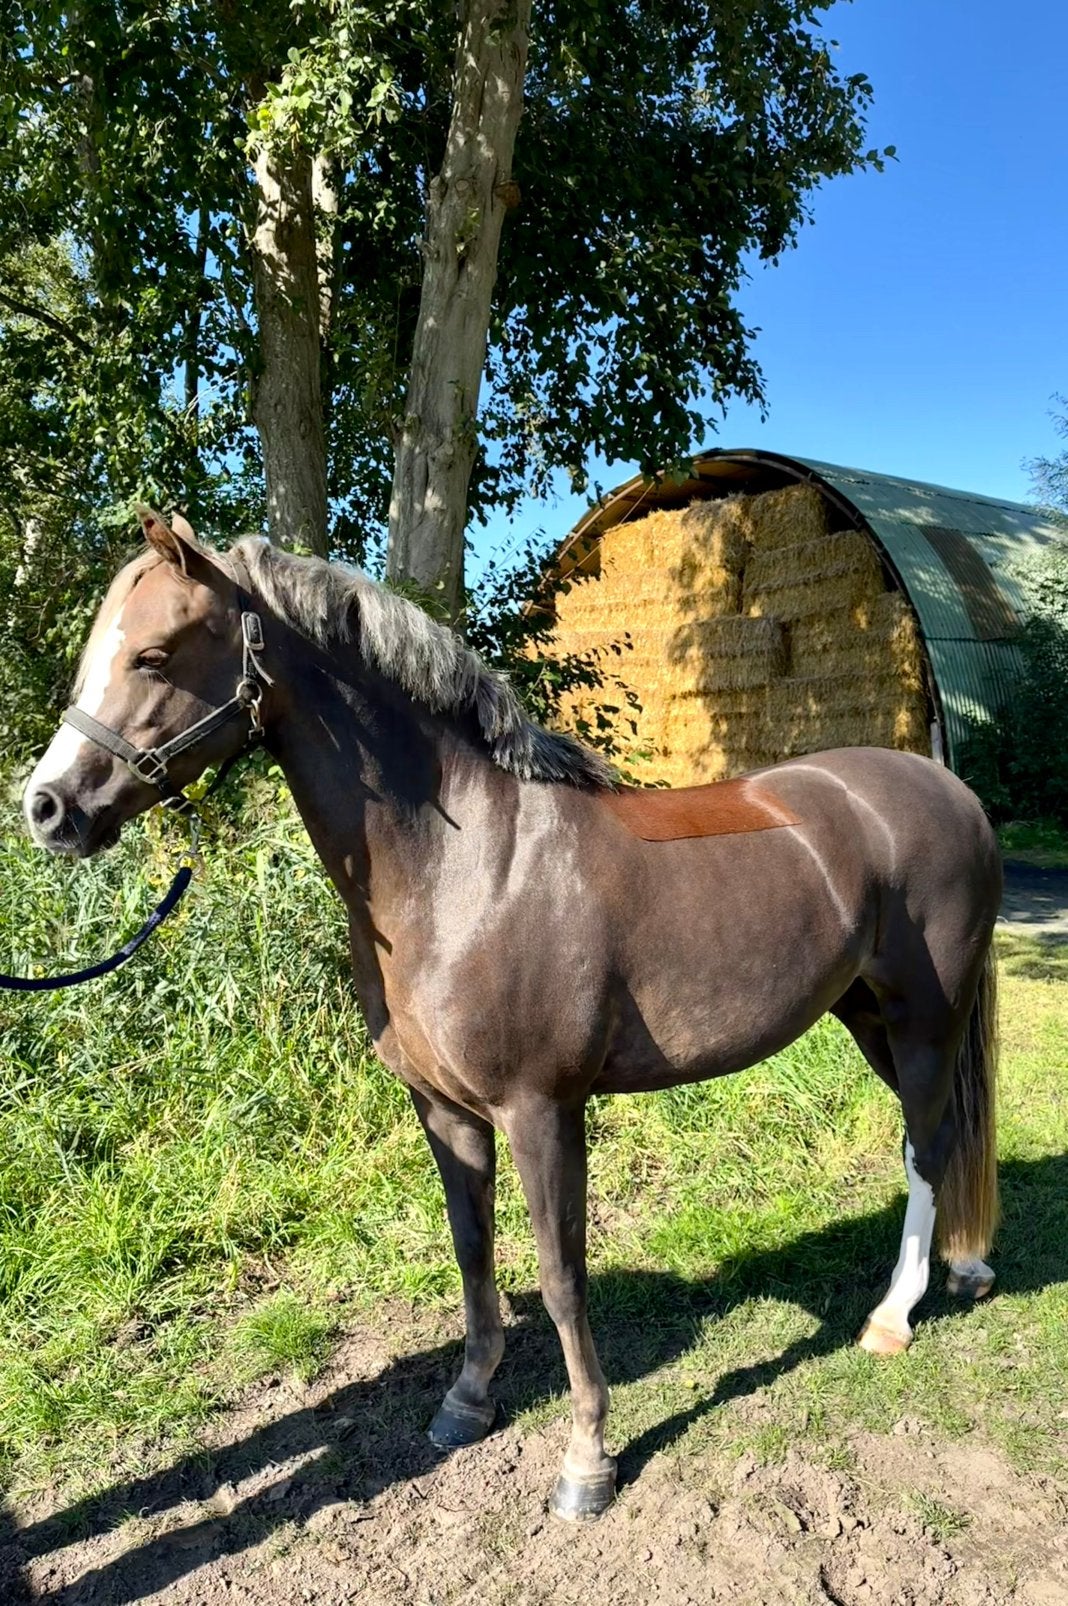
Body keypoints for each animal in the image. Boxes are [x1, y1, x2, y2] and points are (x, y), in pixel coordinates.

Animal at [23, 510, 1001, 1522]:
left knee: (930, 1144)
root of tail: (948, 791)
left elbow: (561, 1276)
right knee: (945, 1135)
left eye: (155, 655)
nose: (46, 809)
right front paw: (467, 1400)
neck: (467, 867)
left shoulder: (542, 1111)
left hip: (924, 1021)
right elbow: (473, 1251)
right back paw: (966, 1269)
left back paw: (892, 1317)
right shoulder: (445, 1112)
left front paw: (588, 1461)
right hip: (868, 1018)